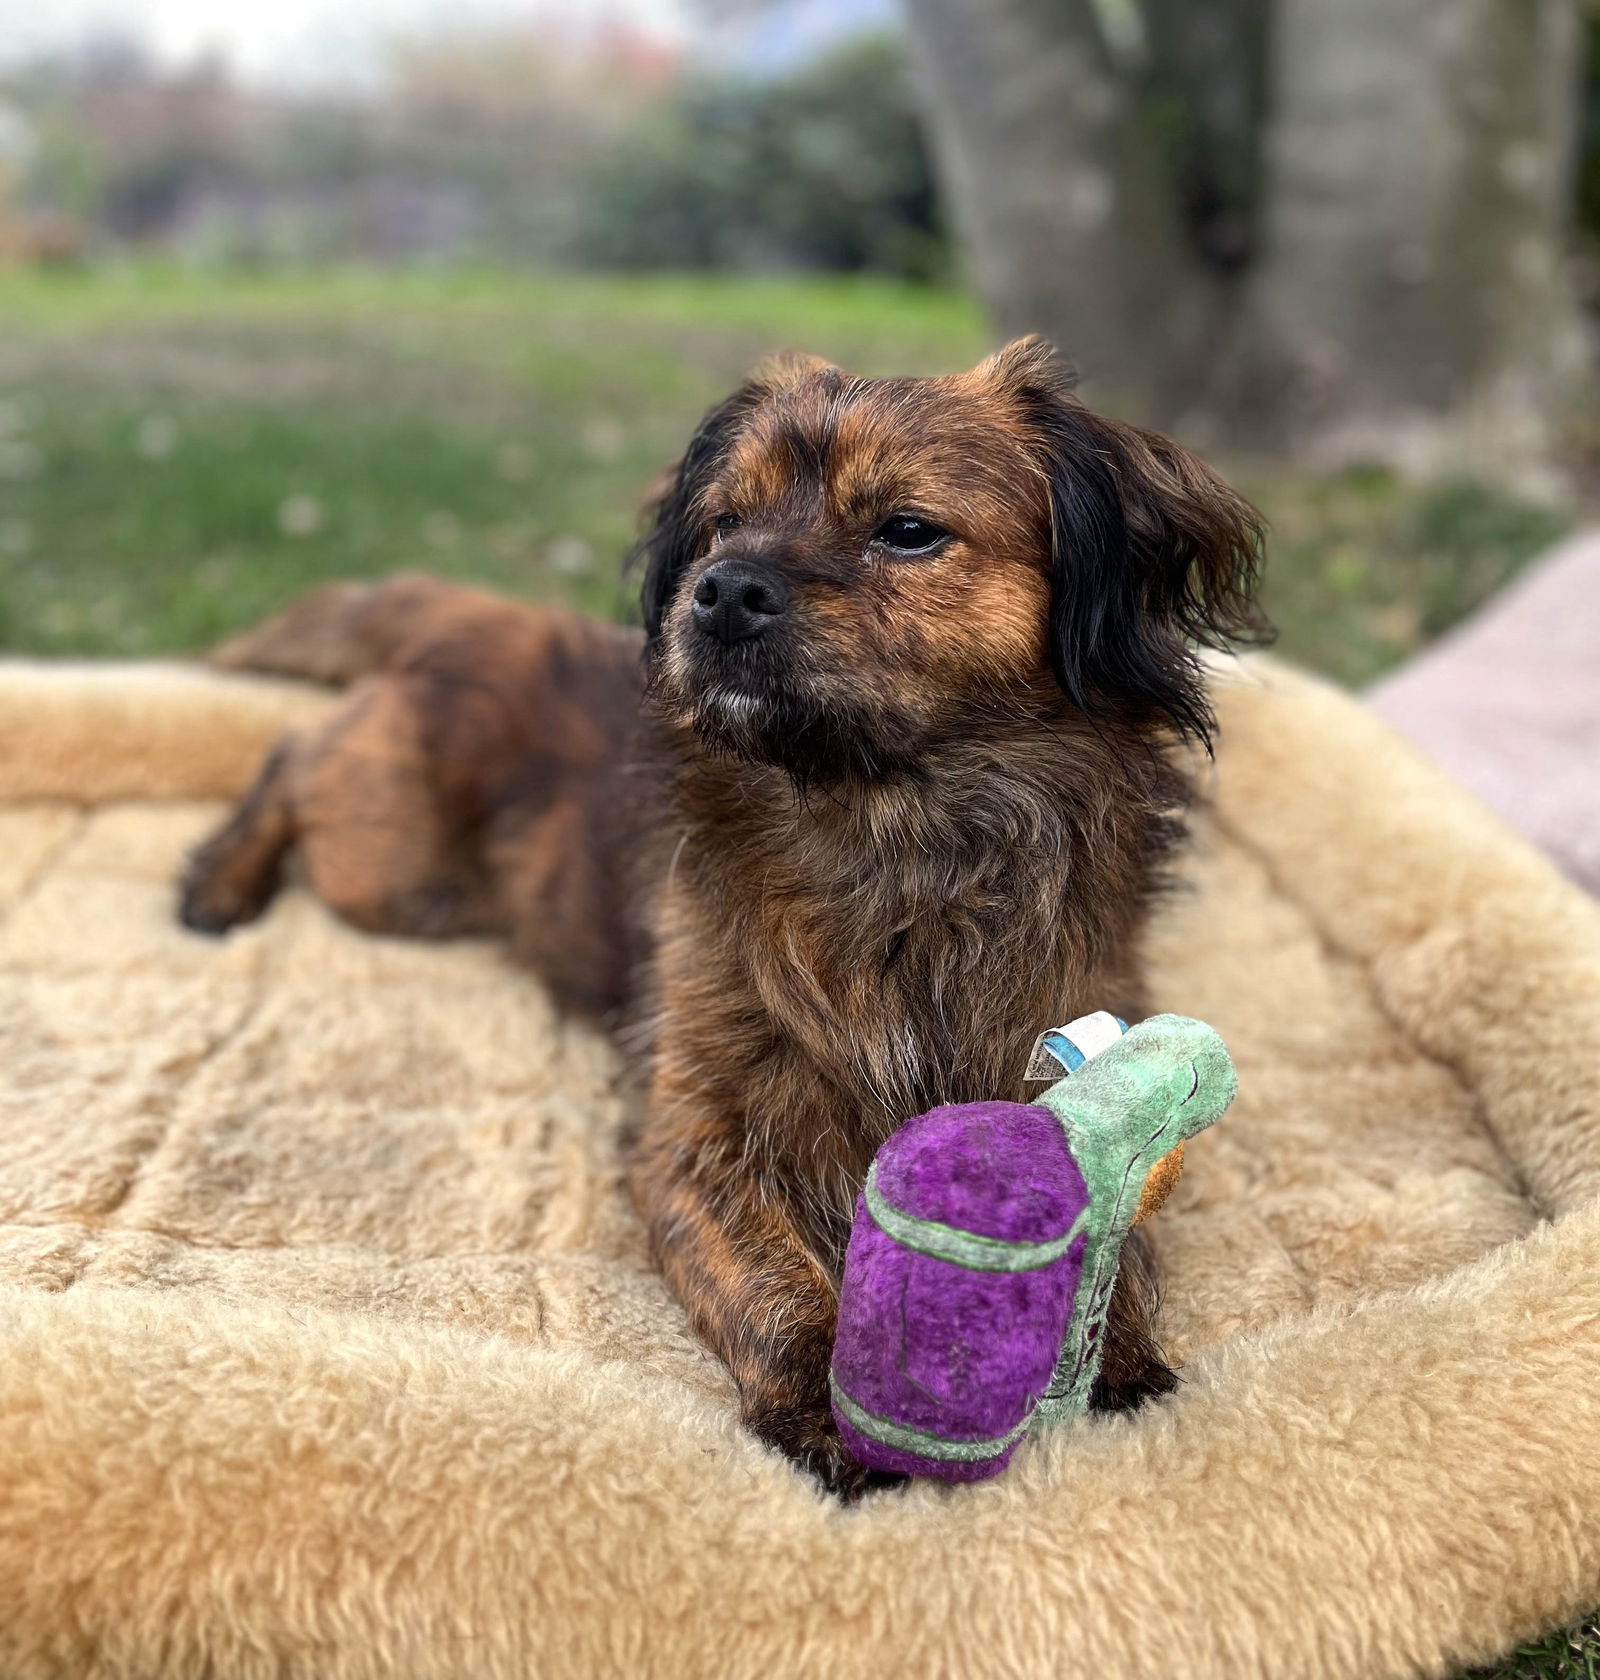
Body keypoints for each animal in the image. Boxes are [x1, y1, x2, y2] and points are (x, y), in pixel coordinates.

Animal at [181, 337, 1270, 1498]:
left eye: (909, 531)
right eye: (723, 526)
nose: (721, 590)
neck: (889, 839)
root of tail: (479, 614)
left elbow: (1122, 1230)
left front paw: (1116, 1356)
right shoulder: (693, 1138)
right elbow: (772, 1281)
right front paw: (826, 1404)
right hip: (388, 862)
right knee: (292, 751)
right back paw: (217, 880)